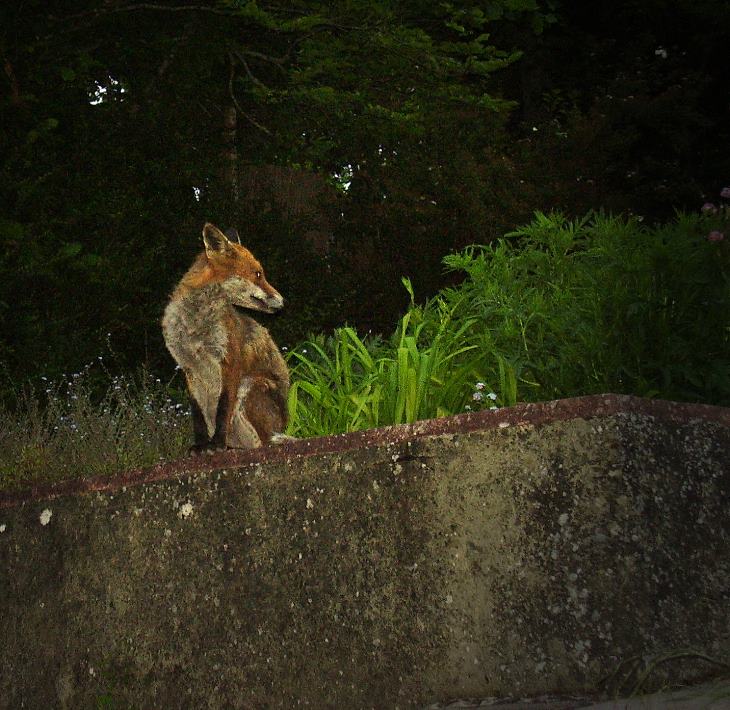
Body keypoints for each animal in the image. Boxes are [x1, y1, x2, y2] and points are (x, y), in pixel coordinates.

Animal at [162, 225, 290, 454]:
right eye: (258, 274)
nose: (284, 302)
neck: (196, 326)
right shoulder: (189, 369)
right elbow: (197, 416)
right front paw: (201, 445)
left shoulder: (229, 362)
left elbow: (223, 409)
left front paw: (217, 444)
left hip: (249, 385)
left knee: (264, 442)